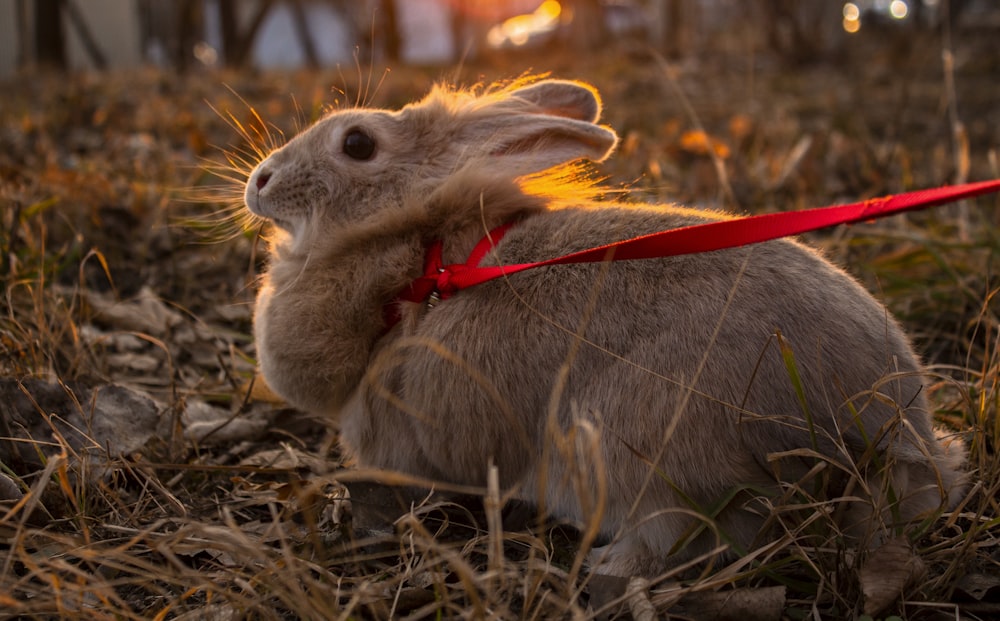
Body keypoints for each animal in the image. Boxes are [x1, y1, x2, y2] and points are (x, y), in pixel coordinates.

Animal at [244, 77, 968, 576]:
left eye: (357, 143)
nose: (260, 181)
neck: (421, 259)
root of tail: (884, 421)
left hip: (638, 451)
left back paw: (605, 567)